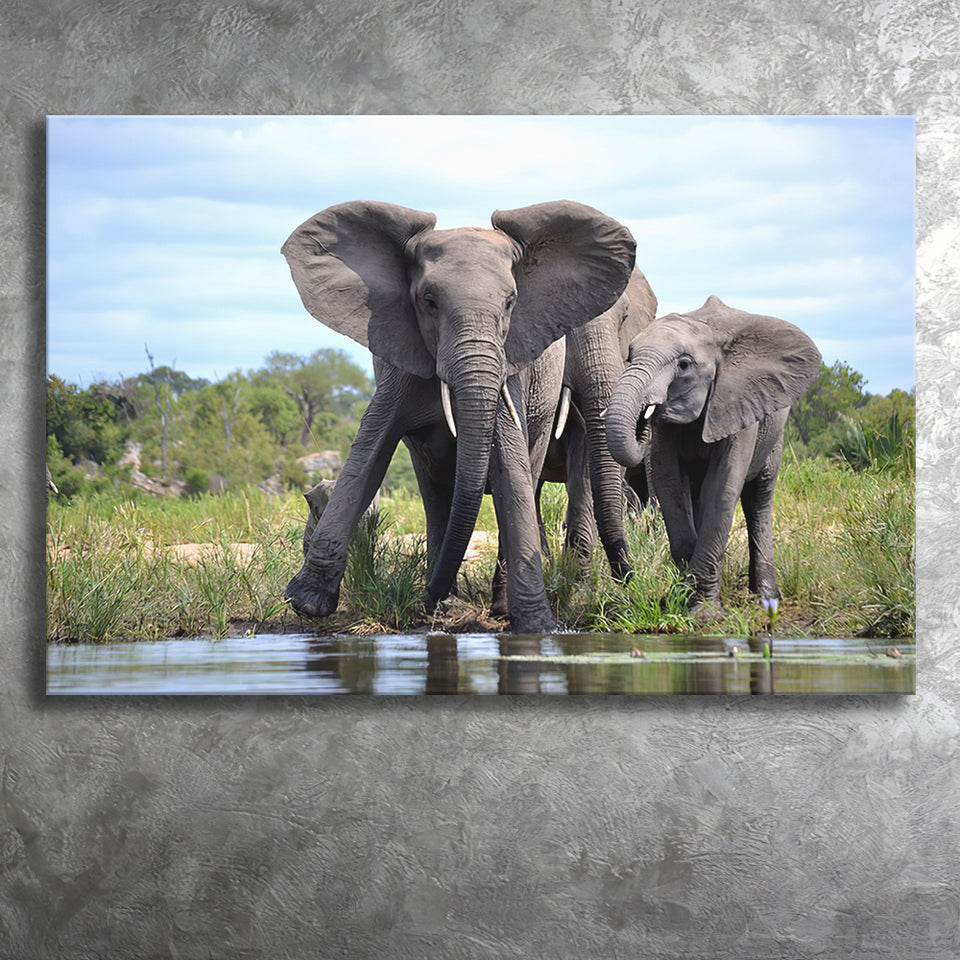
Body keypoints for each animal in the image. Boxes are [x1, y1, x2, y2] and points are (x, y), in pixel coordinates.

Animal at [281, 199, 636, 632]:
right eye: (428, 300)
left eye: (510, 303)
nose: (422, 599)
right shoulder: (399, 363)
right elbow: (369, 451)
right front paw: (307, 602)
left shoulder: (508, 365)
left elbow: (510, 465)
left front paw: (538, 626)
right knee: (436, 490)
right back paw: (446, 604)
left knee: (526, 472)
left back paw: (488, 605)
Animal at [605, 296, 822, 615]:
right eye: (629, 356)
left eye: (684, 365)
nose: (642, 421)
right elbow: (670, 485)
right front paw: (679, 599)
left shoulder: (737, 400)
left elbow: (722, 488)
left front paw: (703, 613)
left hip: (774, 431)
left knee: (759, 497)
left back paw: (766, 597)